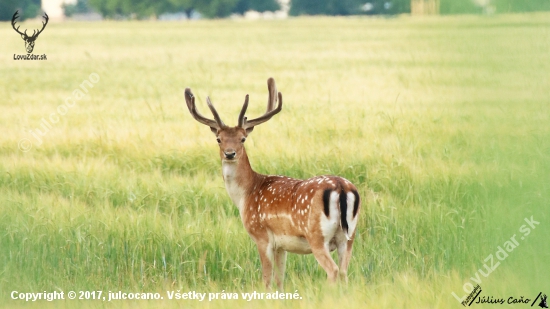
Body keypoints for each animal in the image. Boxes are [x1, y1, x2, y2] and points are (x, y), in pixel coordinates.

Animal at [185, 77, 362, 288]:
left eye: (243, 139)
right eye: (219, 139)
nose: (230, 153)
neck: (245, 194)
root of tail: (342, 188)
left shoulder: (261, 236)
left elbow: (267, 279)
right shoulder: (281, 245)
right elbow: (279, 279)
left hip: (317, 235)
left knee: (333, 270)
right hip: (349, 236)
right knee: (344, 272)